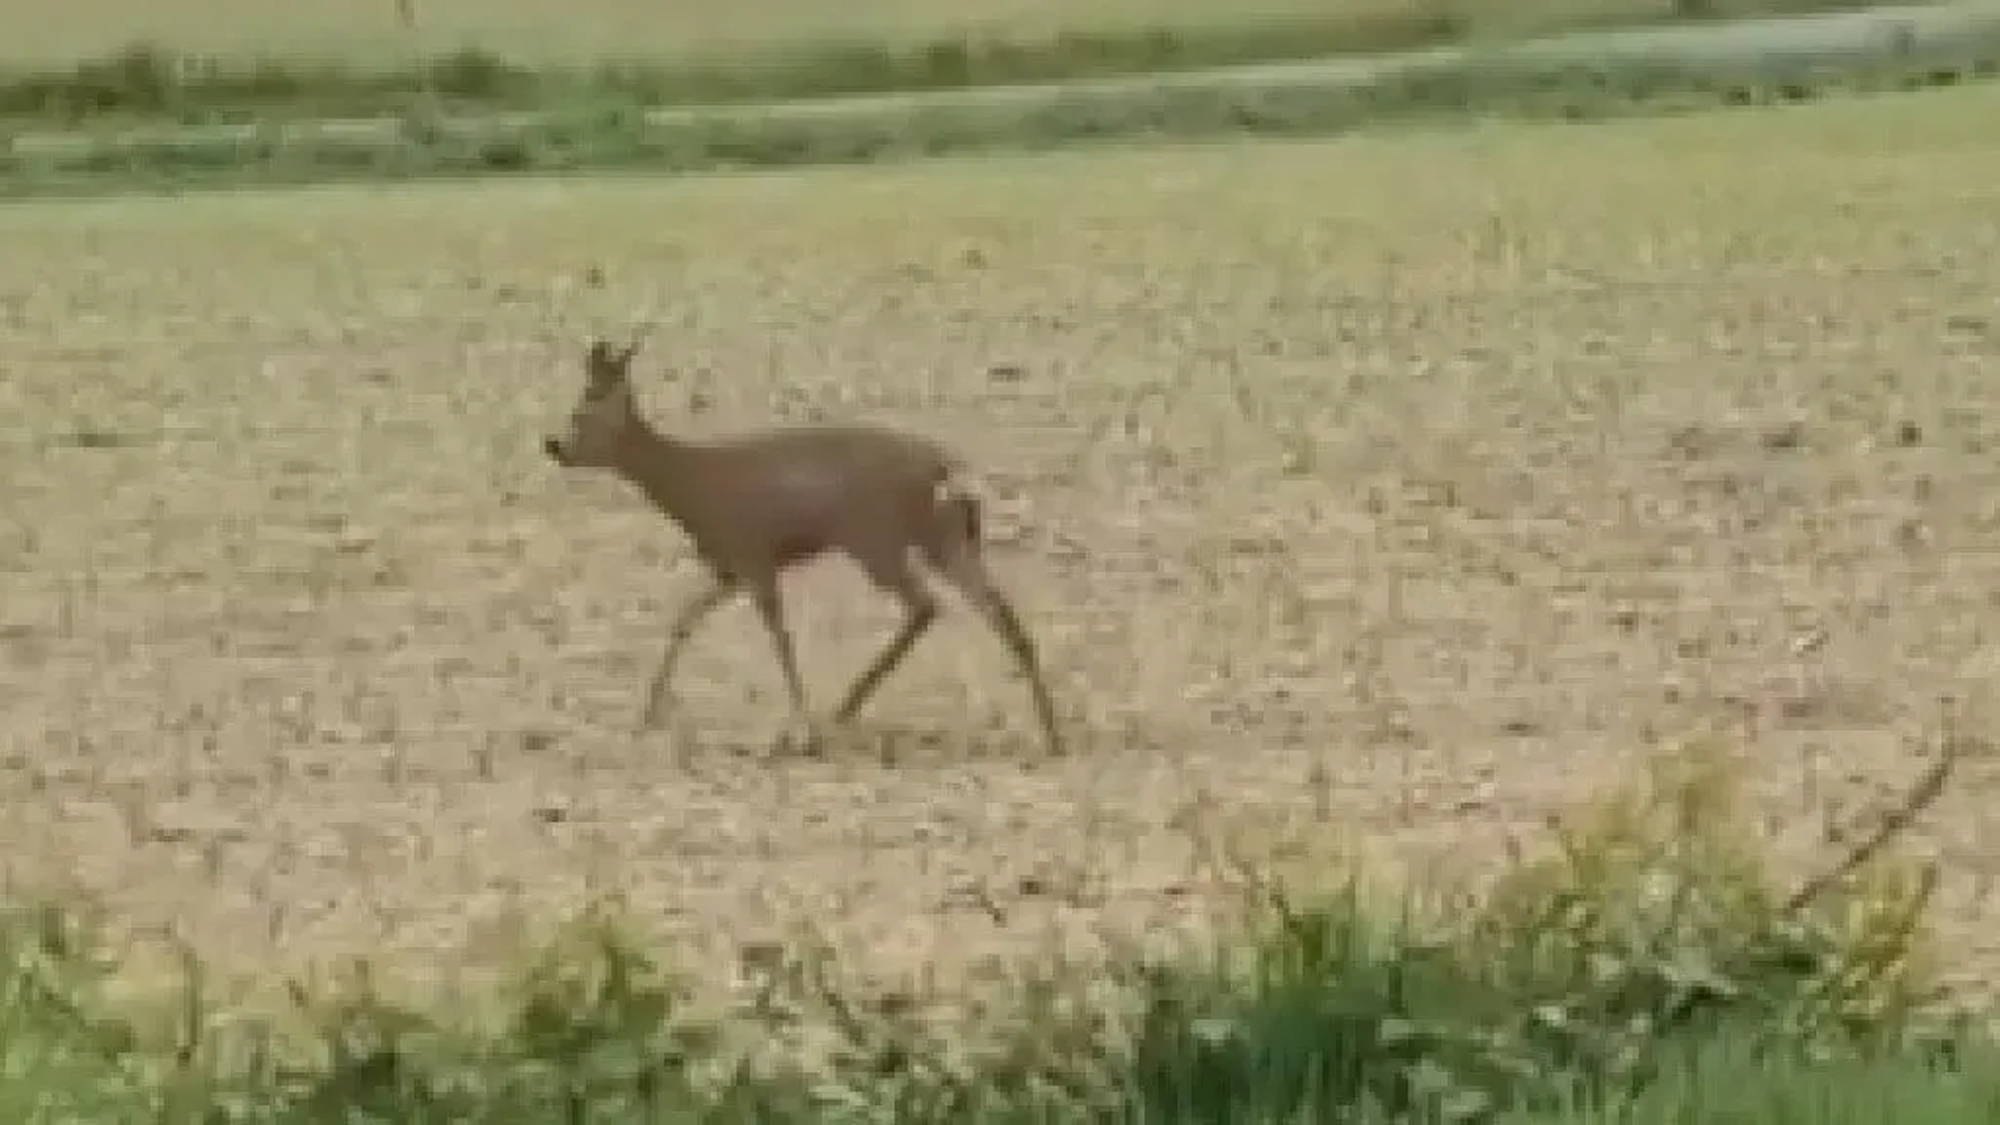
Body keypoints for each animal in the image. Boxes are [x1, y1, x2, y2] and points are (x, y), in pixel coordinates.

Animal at [541, 329, 1064, 757]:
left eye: (582, 410)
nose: (554, 446)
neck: (693, 488)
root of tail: (945, 469)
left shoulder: (754, 555)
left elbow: (780, 637)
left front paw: (801, 730)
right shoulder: (729, 567)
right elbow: (684, 619)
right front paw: (648, 715)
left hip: (875, 537)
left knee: (926, 604)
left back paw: (845, 709)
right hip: (948, 535)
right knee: (999, 612)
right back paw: (1051, 733)